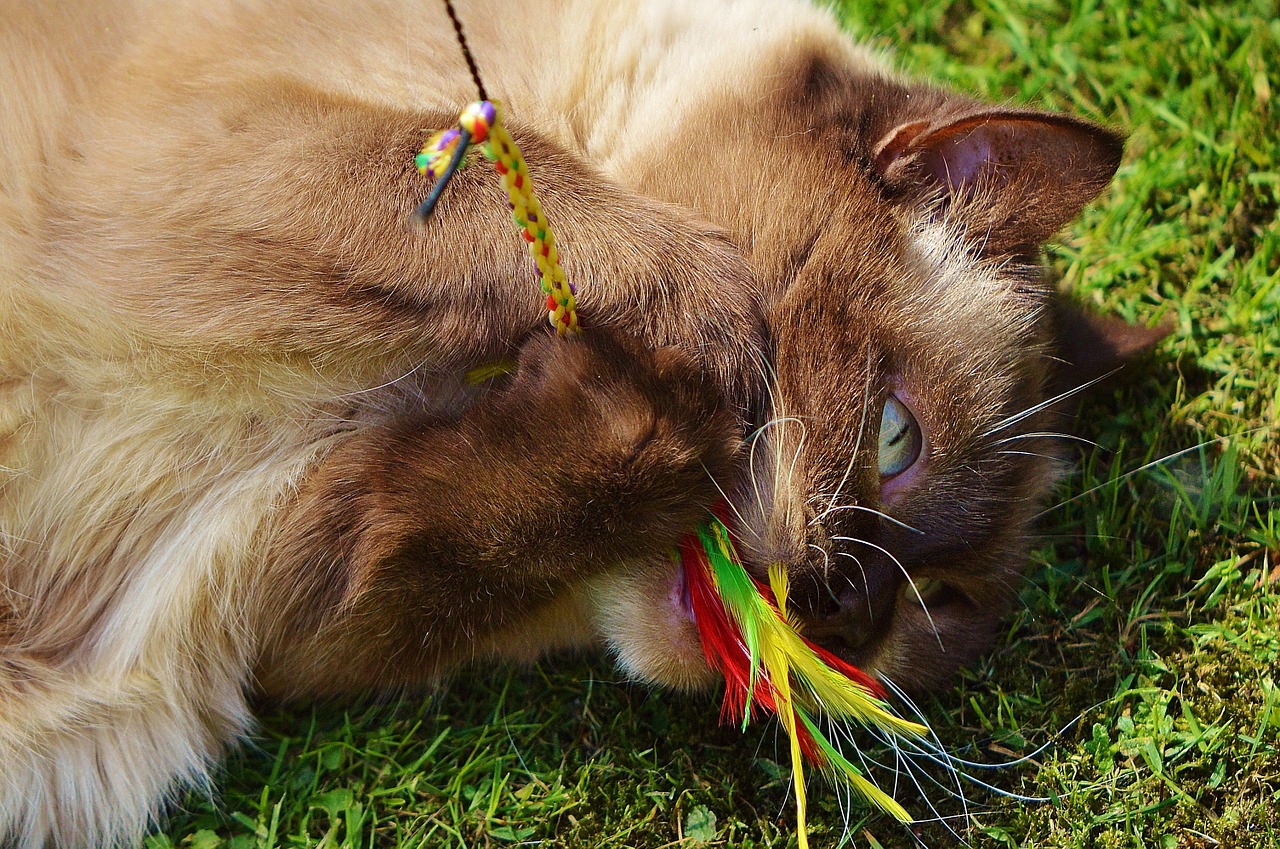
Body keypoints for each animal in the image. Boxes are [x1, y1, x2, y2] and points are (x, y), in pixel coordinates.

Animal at [0, 0, 1162, 845]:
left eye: (939, 608)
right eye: (895, 437)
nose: (839, 611)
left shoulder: (281, 605)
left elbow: (504, 520)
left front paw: (646, 410)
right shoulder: (186, 140)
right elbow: (489, 178)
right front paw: (701, 332)